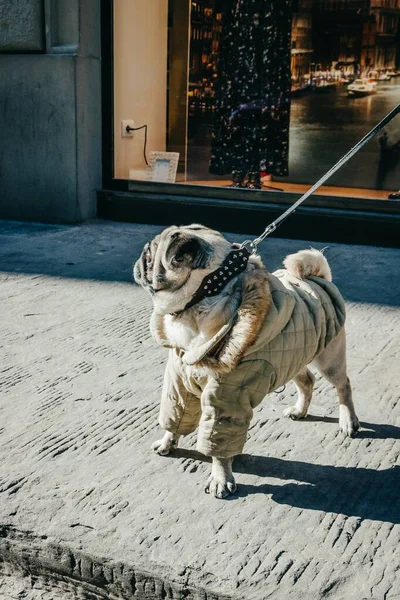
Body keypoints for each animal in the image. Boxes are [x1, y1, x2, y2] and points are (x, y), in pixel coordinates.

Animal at [134, 224, 360, 496]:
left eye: (149, 256)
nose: (140, 259)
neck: (199, 304)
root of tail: (319, 278)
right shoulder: (178, 384)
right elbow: (175, 416)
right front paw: (168, 442)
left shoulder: (226, 397)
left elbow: (219, 446)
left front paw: (220, 478)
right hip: (293, 357)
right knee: (307, 381)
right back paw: (299, 411)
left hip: (328, 359)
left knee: (343, 385)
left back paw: (348, 421)